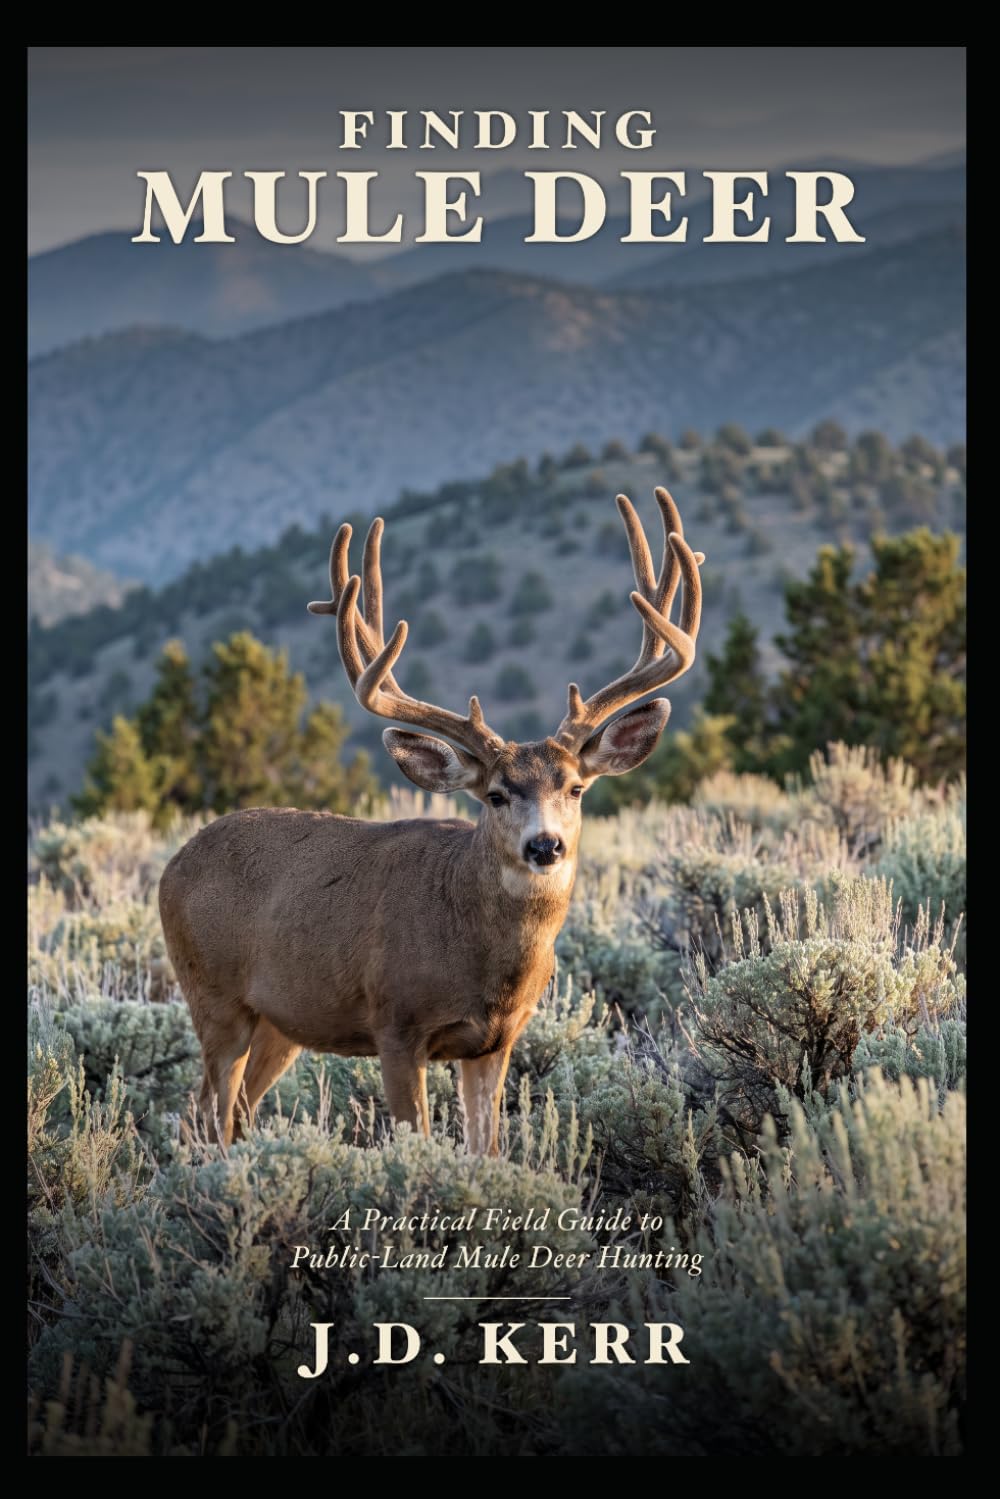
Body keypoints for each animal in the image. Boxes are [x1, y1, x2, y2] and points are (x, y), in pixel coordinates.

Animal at [159, 486, 704, 1155]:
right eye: (495, 795)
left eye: (576, 789)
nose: (544, 846)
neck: (480, 958)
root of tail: (172, 866)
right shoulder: (396, 1023)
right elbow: (413, 1138)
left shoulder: (497, 1041)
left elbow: (485, 1148)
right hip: (213, 996)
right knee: (207, 1113)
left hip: (282, 1022)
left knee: (228, 1111)